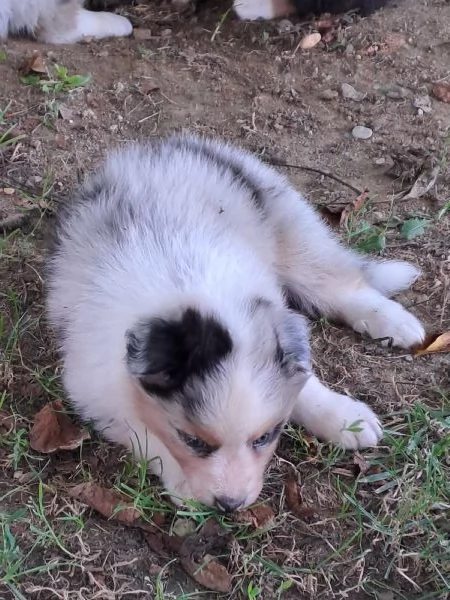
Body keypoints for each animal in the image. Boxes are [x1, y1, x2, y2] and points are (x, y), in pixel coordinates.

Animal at [47, 135, 424, 510]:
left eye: (265, 437)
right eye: (193, 441)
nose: (230, 505)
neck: (191, 289)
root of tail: (158, 146)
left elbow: (303, 383)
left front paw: (346, 419)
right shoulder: (94, 385)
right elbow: (142, 431)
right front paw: (183, 481)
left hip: (292, 234)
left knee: (339, 284)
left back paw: (398, 323)